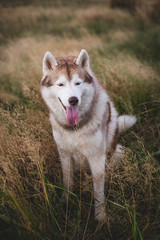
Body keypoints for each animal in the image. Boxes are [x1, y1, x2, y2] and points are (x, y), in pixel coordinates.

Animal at [40, 49, 136, 221]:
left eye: (78, 83)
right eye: (60, 84)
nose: (73, 100)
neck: (74, 128)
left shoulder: (96, 158)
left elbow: (98, 191)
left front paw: (100, 216)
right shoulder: (64, 154)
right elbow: (67, 180)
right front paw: (66, 201)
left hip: (119, 152)